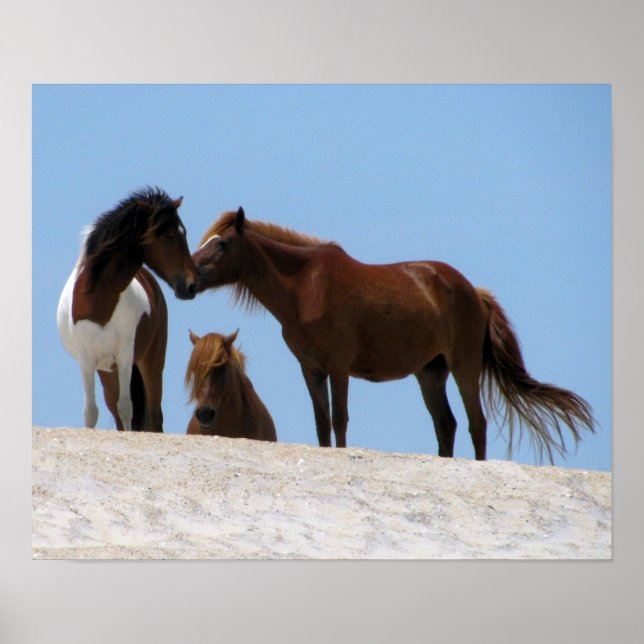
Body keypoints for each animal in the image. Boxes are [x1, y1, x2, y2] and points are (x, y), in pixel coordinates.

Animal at [56, 187, 198, 432]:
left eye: (184, 233)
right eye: (168, 235)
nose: (191, 285)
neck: (99, 297)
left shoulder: (125, 354)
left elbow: (126, 408)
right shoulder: (87, 359)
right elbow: (91, 413)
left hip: (150, 363)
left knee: (154, 416)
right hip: (107, 371)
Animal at [191, 207, 595, 462]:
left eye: (222, 244)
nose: (188, 278)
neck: (305, 287)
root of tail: (471, 290)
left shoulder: (338, 367)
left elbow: (339, 418)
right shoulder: (311, 369)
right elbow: (322, 423)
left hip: (464, 367)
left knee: (475, 423)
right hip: (430, 373)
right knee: (446, 425)